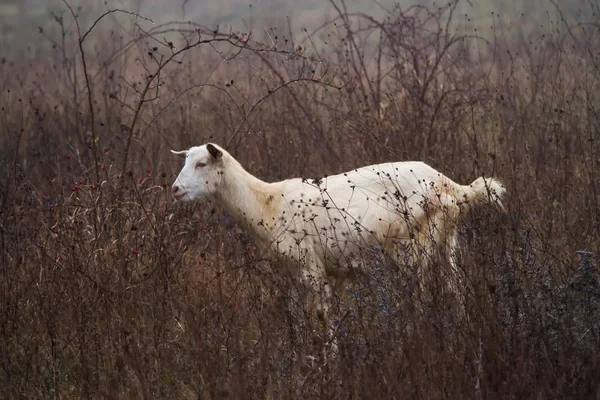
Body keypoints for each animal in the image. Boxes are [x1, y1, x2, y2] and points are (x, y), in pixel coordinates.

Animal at [170, 141, 506, 328]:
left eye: (202, 163)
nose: (175, 189)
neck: (266, 204)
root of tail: (456, 188)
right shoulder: (298, 273)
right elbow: (300, 317)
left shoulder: (312, 267)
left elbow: (322, 316)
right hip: (448, 240)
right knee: (456, 289)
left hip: (415, 246)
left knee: (422, 296)